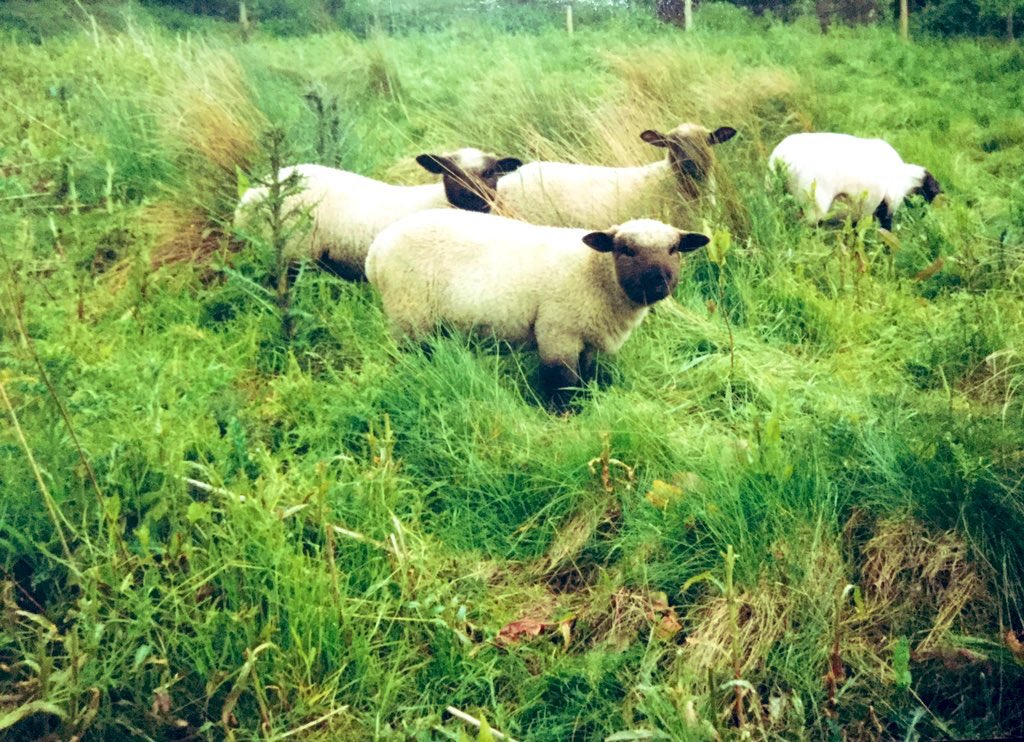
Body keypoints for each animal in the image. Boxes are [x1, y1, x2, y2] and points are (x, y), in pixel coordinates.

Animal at [365, 209, 709, 410]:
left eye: (674, 249)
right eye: (625, 249)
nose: (658, 282)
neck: (595, 274)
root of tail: (376, 250)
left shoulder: (585, 339)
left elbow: (585, 377)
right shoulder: (558, 332)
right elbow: (563, 382)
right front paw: (566, 415)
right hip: (409, 315)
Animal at [768, 132, 942, 230]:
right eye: (930, 196)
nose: (923, 216)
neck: (903, 177)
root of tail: (780, 158)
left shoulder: (858, 214)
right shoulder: (886, 208)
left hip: (778, 195)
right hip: (814, 205)